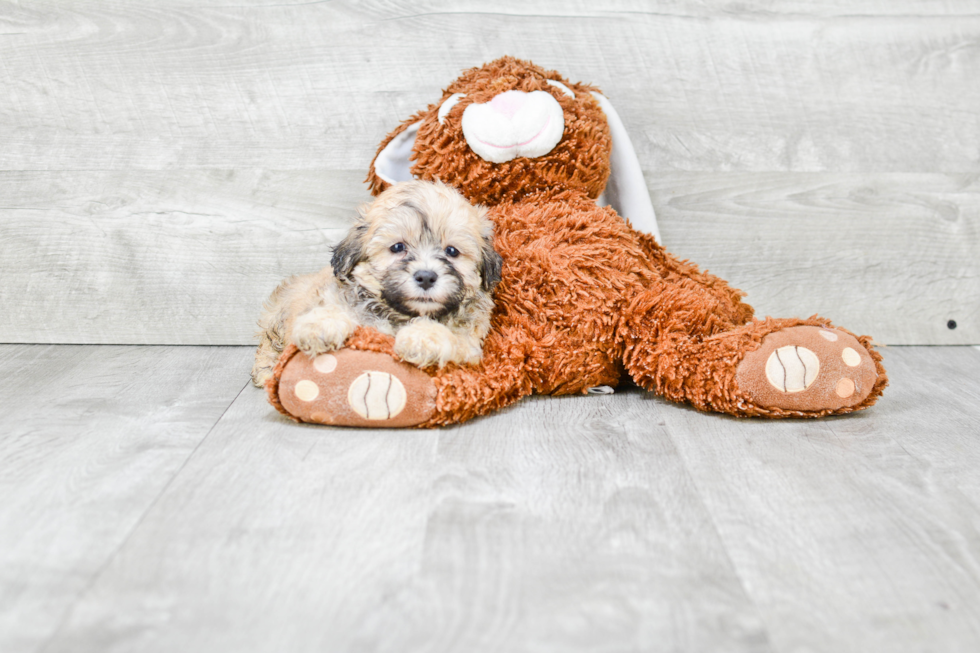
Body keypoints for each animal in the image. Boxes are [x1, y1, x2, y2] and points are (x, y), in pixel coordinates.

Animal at [253, 180, 502, 388]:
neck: (398, 314)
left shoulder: (470, 345)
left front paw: (422, 338)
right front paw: (320, 325)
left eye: (451, 251)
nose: (426, 277)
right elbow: (329, 309)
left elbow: (451, 337)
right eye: (398, 247)